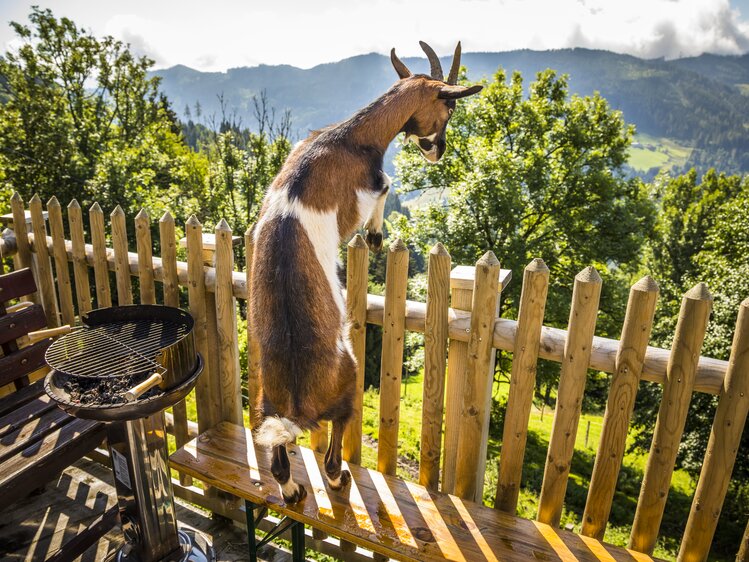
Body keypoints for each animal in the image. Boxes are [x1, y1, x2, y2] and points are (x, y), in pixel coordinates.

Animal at [248, 40, 482, 504]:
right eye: (448, 108)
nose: (437, 150)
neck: (349, 138)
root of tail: (296, 405)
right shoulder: (367, 188)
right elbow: (387, 185)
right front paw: (374, 237)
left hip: (268, 403)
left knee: (279, 457)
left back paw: (293, 491)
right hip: (349, 381)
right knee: (332, 450)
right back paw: (339, 479)